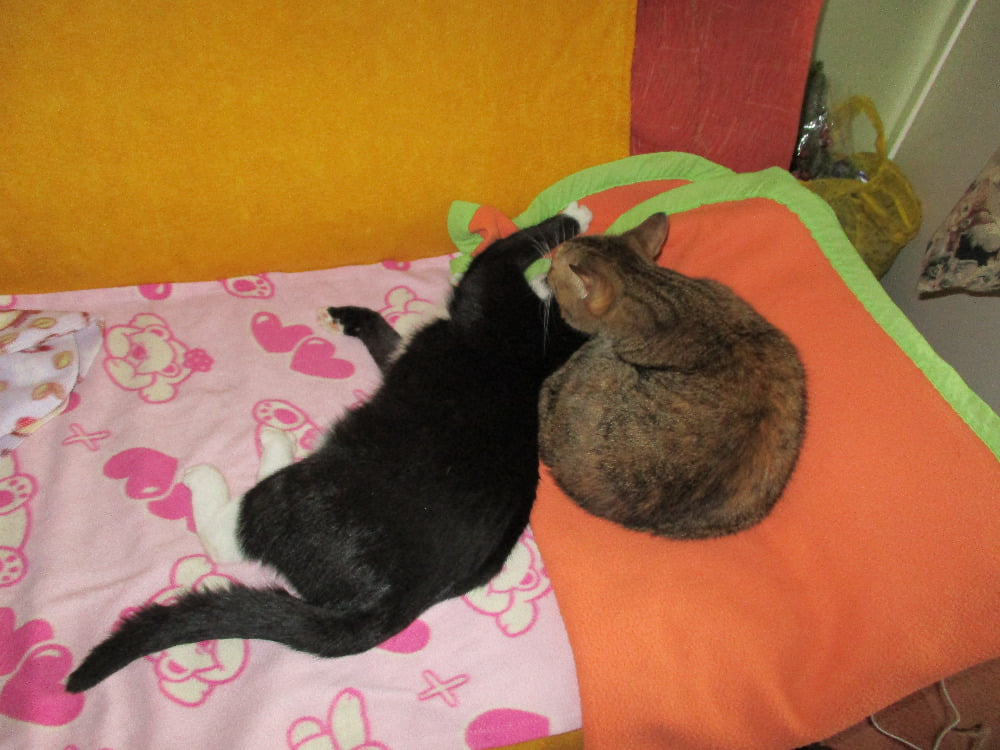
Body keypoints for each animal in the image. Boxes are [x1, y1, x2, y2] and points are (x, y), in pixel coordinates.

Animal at [66, 204, 592, 693]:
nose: (562, 266)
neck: (560, 346)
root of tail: (390, 602)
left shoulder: (491, 275)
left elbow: (514, 241)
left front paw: (575, 215)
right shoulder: (415, 348)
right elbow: (390, 340)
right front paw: (348, 318)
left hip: (301, 492)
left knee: (227, 537)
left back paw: (252, 452)